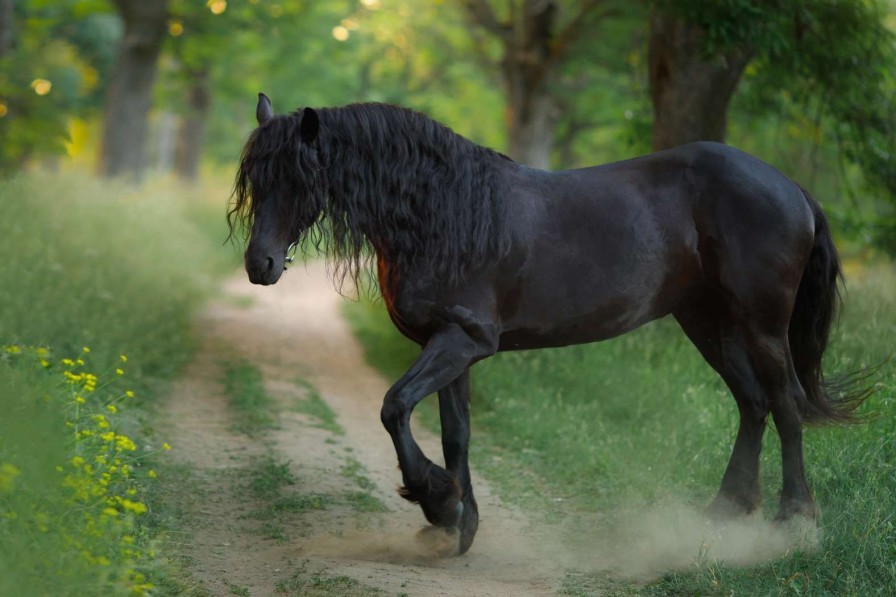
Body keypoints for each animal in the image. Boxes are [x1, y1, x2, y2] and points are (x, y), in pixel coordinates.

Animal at [228, 93, 864, 556]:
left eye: (298, 178)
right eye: (255, 179)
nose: (260, 265)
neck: (447, 212)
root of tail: (790, 188)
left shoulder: (462, 341)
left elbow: (394, 407)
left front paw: (438, 501)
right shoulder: (450, 346)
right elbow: (455, 433)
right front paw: (457, 522)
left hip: (761, 324)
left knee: (784, 404)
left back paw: (793, 519)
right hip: (709, 323)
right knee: (753, 404)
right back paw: (727, 512)